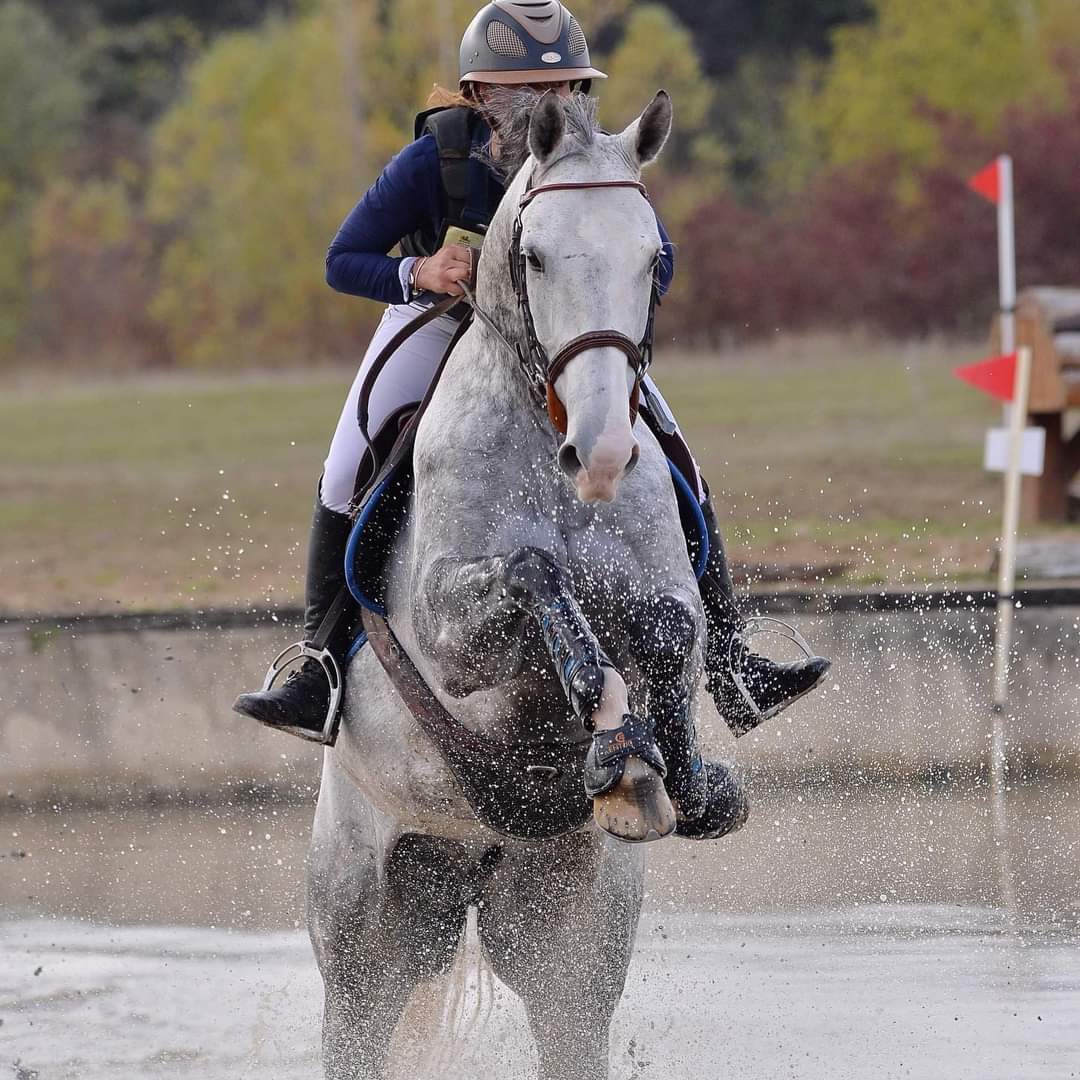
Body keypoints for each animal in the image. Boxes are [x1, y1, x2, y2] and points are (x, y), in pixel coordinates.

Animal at [304, 92, 743, 1080]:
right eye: (535, 256)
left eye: (654, 258)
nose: (604, 452)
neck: (547, 443)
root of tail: (473, 859)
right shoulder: (448, 632)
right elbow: (535, 571)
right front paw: (608, 720)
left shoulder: (665, 598)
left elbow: (667, 625)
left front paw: (654, 765)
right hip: (363, 931)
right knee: (356, 1021)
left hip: (567, 931)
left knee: (569, 1019)